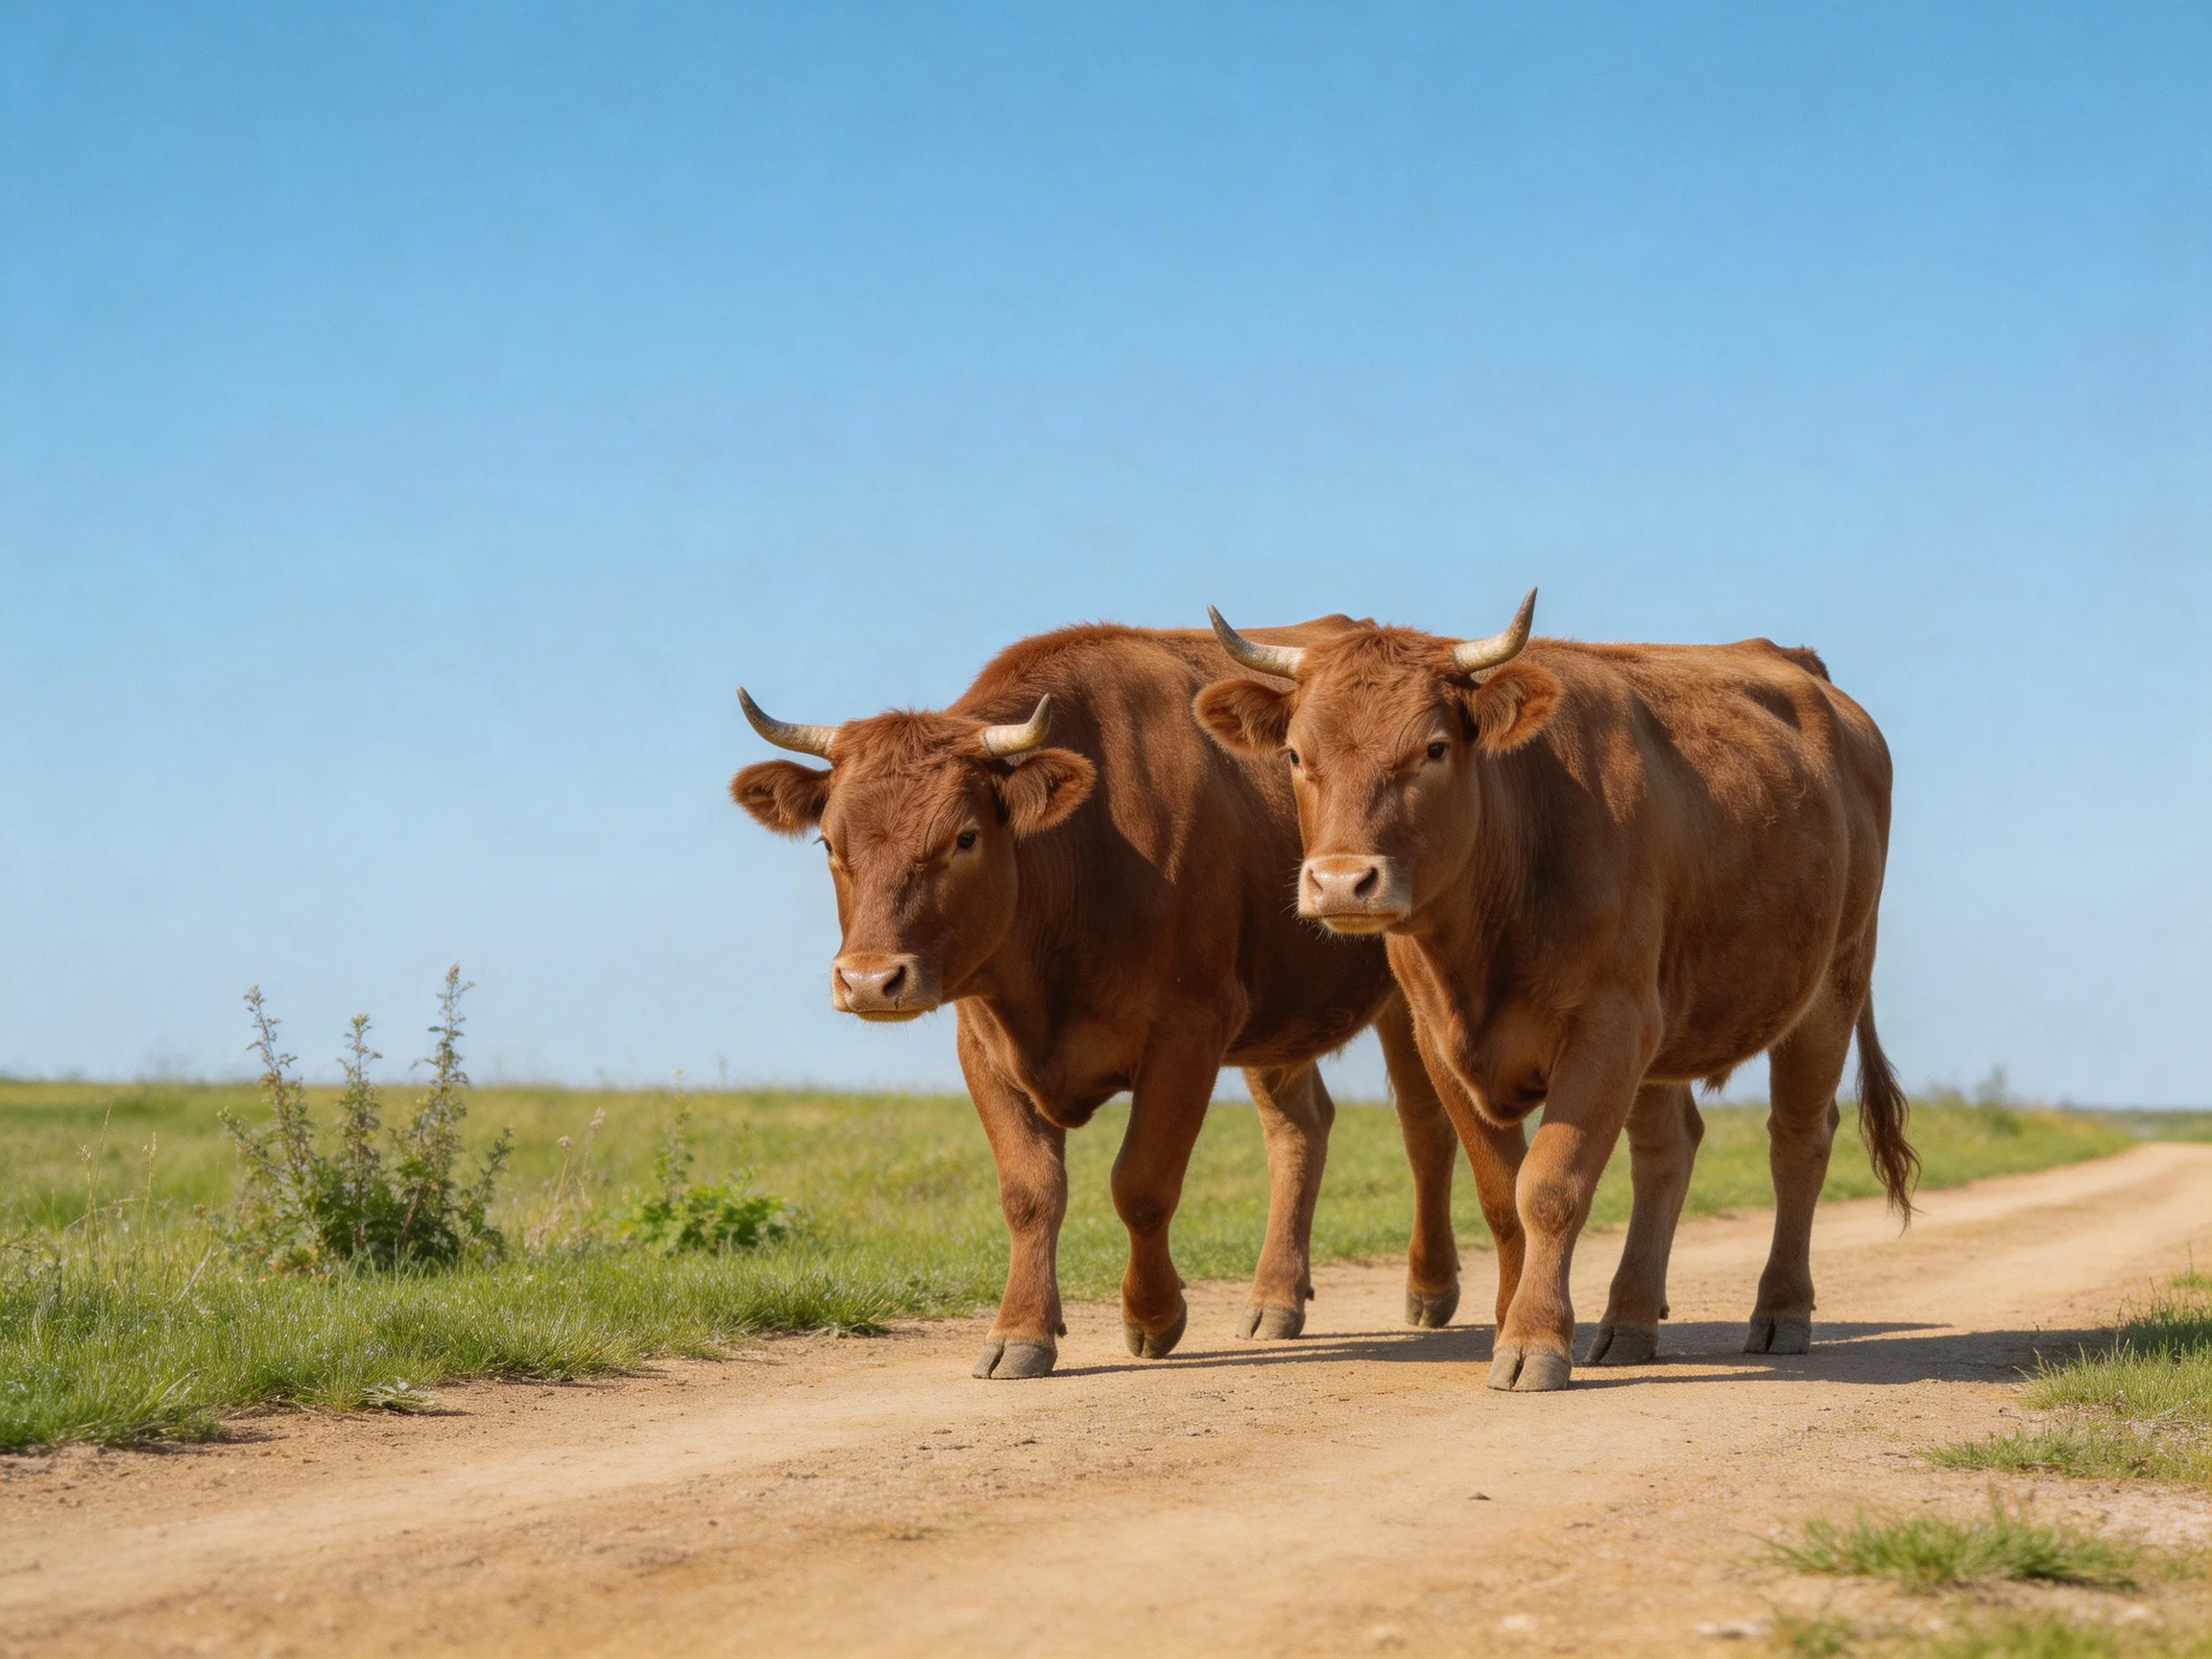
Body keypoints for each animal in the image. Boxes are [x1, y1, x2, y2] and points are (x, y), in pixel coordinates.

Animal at [729, 619, 1525, 1379]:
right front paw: (1020, 1331)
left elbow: (1141, 1183)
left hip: (1406, 998)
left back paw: (1429, 1287)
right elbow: (1029, 1192)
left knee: (1424, 1127)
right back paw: (1275, 1297)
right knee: (1300, 1129)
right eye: (829, 845)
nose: (869, 979)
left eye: (964, 837)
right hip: (1278, 1014)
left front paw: (1152, 1316)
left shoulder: (1189, 1032)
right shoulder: (982, 1043)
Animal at [1192, 591, 1915, 1392]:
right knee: (1668, 1149)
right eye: (1295, 755)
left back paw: (1781, 1311)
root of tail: (1799, 667)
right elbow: (1501, 1197)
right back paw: (1629, 1322)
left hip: (1830, 987)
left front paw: (1534, 1339)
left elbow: (1550, 1184)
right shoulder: (1440, 1040)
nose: (1343, 881)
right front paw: (1514, 1321)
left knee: (1798, 1141)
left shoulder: (1607, 1027)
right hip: (1669, 1018)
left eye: (1434, 748)